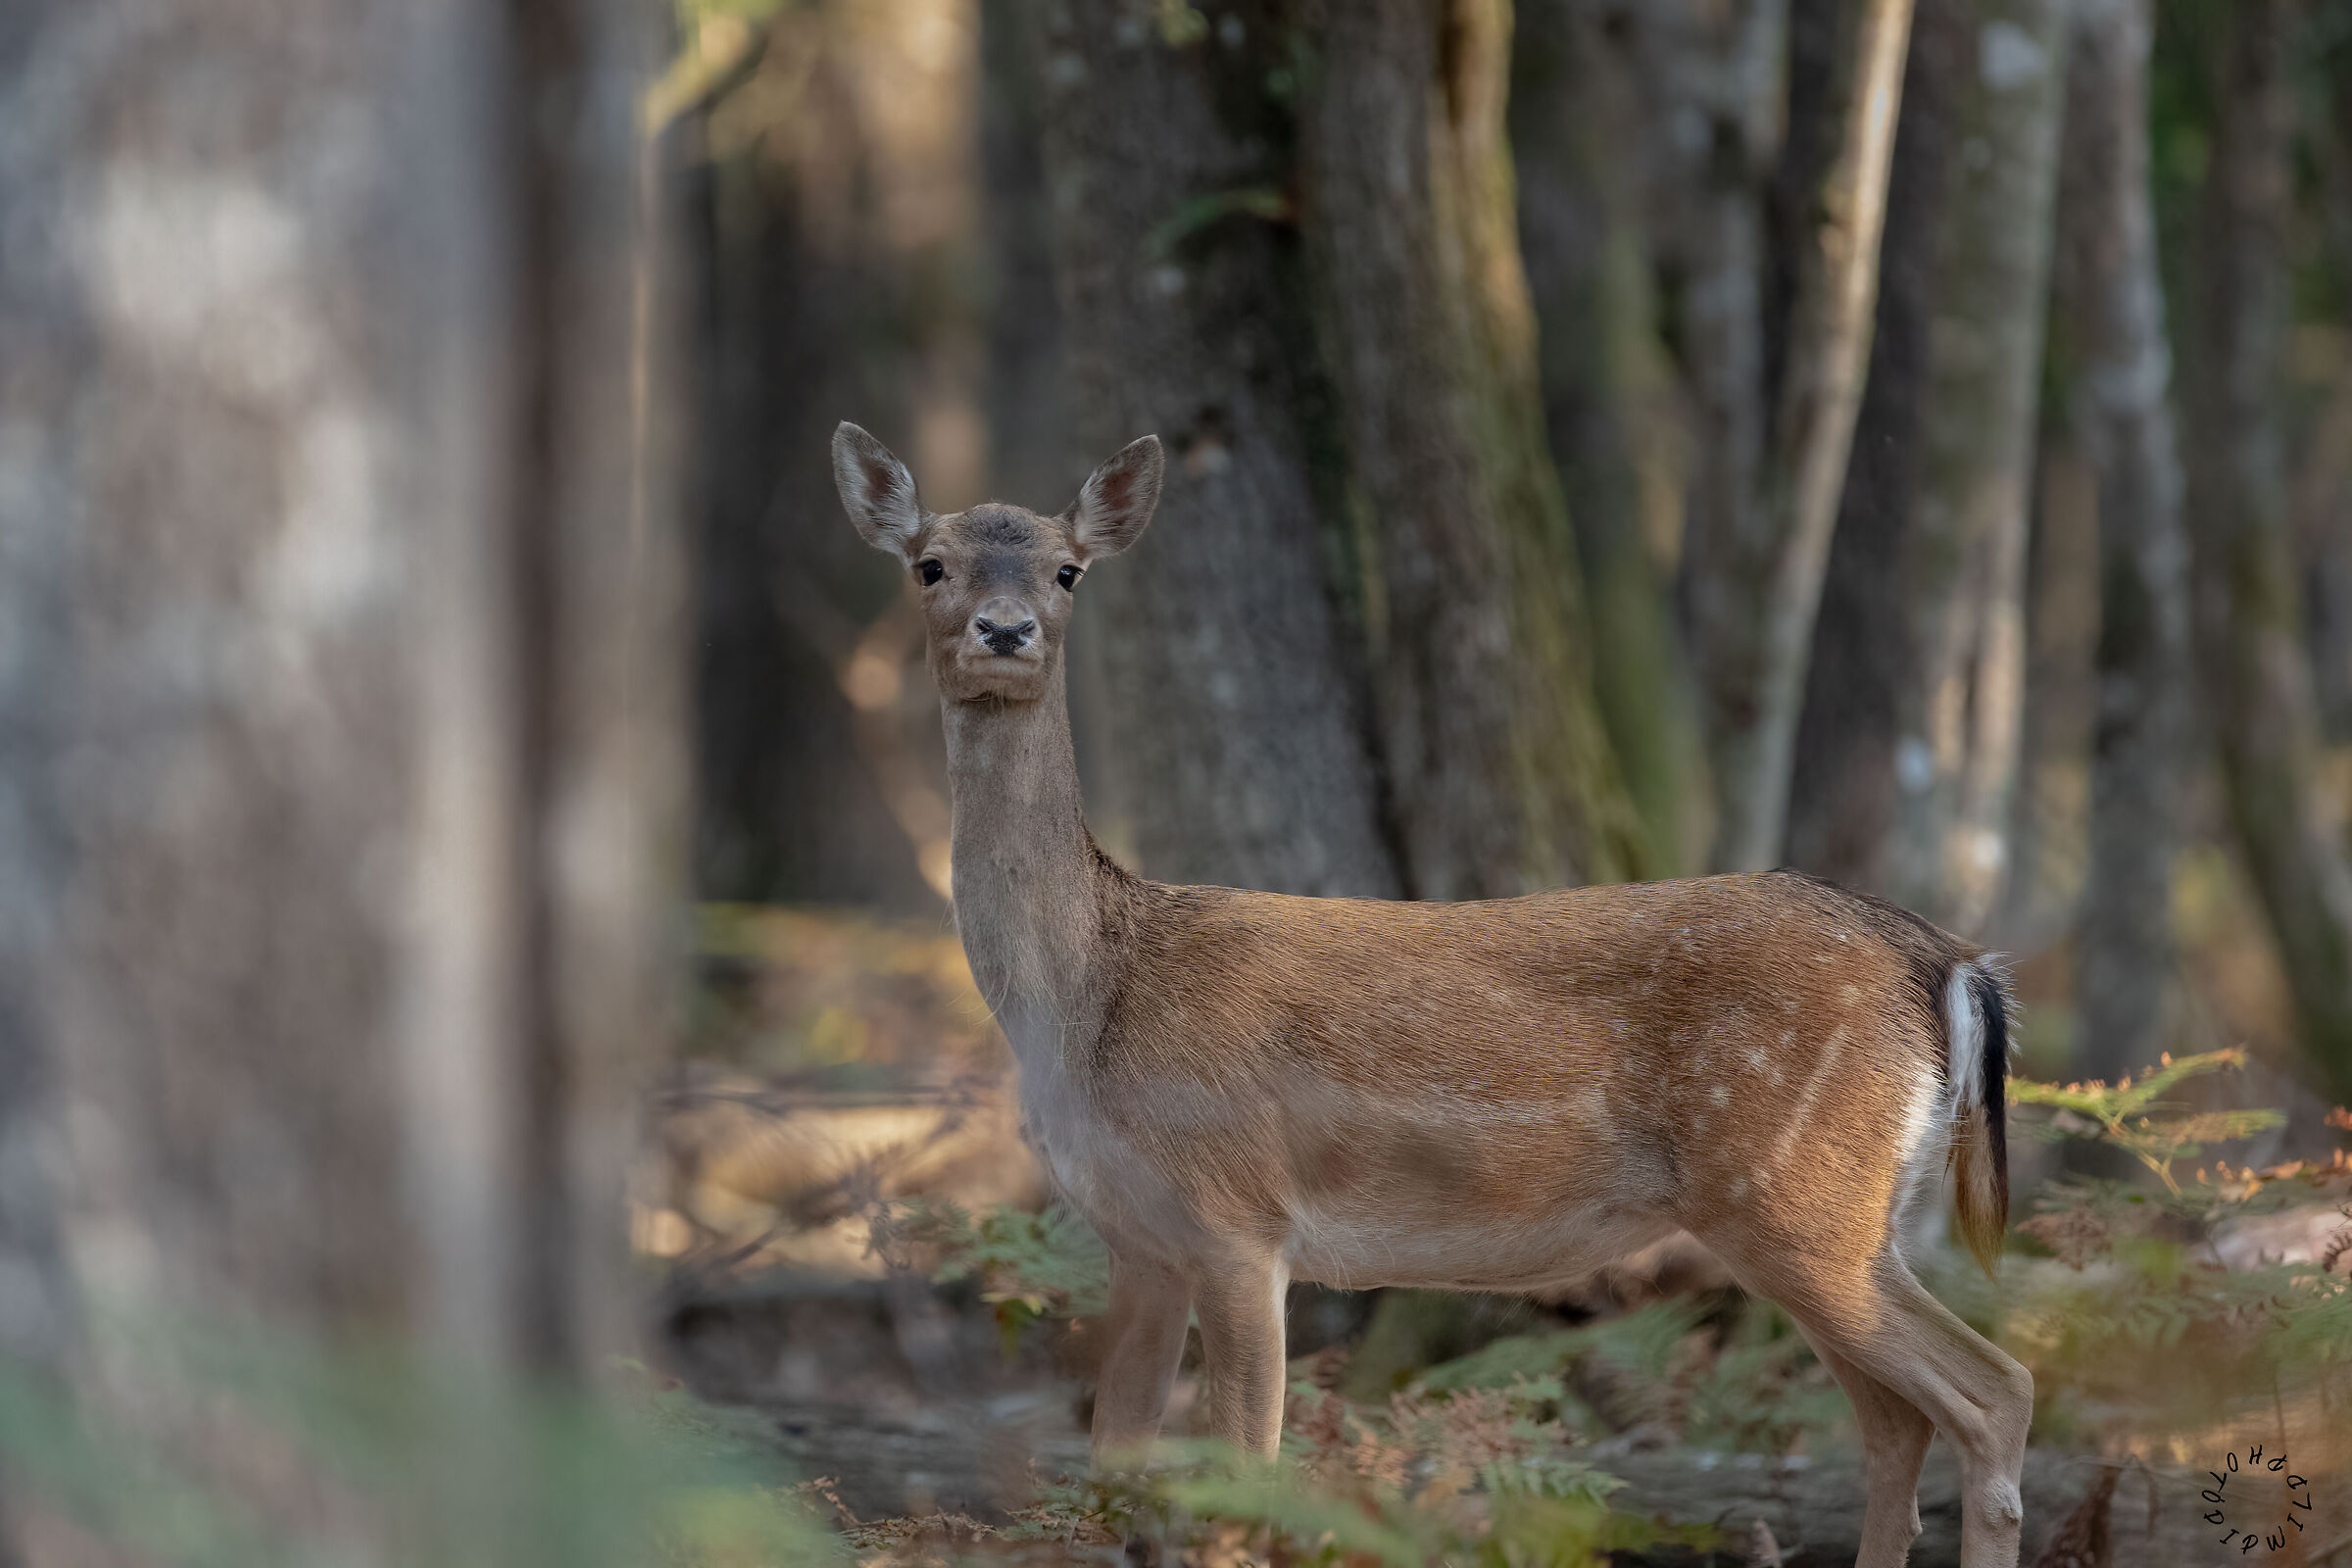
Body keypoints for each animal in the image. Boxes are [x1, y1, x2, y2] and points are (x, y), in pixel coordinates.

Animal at [832, 422, 2035, 1568]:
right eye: (931, 564)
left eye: (1068, 571)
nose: (1004, 631)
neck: (1090, 1000)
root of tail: (1946, 958)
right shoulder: (1139, 1239)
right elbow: (1113, 1466)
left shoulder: (1237, 1217)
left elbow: (1246, 1470)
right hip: (1832, 1214)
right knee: (1897, 1421)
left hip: (1797, 1196)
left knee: (1994, 1391)